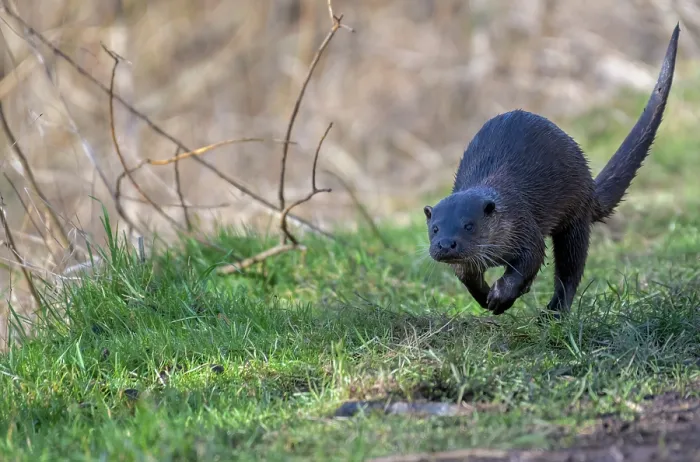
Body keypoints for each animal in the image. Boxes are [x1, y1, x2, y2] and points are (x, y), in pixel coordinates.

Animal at [424, 24, 680, 316]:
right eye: (435, 229)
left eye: (469, 225)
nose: (446, 244)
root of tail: (590, 187)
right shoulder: (468, 262)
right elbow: (467, 277)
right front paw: (487, 297)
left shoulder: (525, 228)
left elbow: (530, 261)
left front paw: (501, 296)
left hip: (576, 216)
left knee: (570, 269)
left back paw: (554, 312)